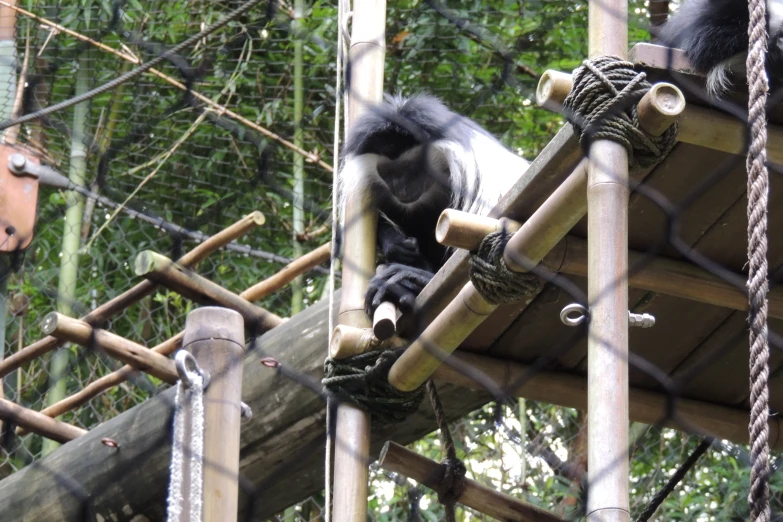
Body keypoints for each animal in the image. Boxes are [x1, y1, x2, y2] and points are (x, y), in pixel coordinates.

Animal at [338, 95, 528, 318]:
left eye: (412, 169)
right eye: (389, 173)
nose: (401, 188)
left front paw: (413, 276)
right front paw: (395, 243)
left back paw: (409, 282)